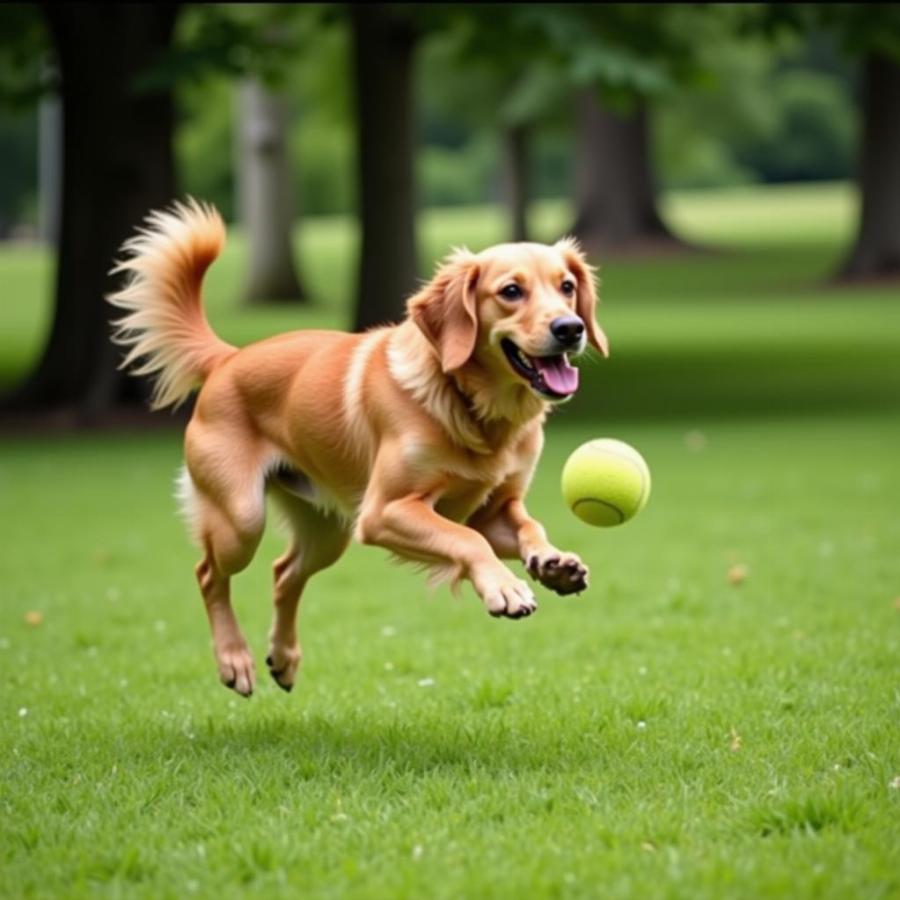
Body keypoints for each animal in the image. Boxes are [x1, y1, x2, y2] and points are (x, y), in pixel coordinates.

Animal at [109, 202, 608, 696]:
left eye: (566, 287)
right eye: (510, 291)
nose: (571, 328)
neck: (471, 407)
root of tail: (229, 357)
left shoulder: (493, 507)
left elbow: (527, 525)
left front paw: (553, 563)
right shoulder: (386, 510)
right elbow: (469, 542)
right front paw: (505, 588)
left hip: (327, 532)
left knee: (283, 574)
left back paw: (284, 658)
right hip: (242, 517)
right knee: (209, 574)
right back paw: (235, 660)